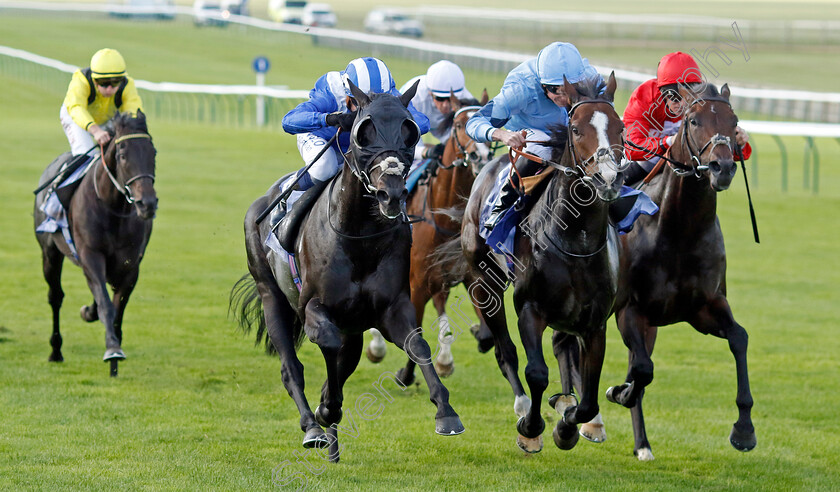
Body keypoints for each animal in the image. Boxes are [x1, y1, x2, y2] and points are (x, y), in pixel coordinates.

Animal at [233, 80, 462, 462]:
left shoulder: (389, 308)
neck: (359, 239)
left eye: (410, 131)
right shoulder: (313, 307)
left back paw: (332, 439)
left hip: (353, 325)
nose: (391, 193)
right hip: (271, 296)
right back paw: (313, 427)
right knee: (290, 367)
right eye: (362, 132)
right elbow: (327, 343)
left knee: (344, 356)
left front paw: (446, 413)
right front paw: (327, 409)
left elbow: (417, 344)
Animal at [364, 90, 496, 382]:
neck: (443, 216)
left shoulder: (468, 276)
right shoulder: (416, 282)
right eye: (459, 125)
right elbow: (415, 332)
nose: (479, 155)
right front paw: (405, 373)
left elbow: (486, 332)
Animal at [460, 73, 624, 454]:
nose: (608, 179)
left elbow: (590, 396)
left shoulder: (595, 323)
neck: (574, 241)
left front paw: (568, 424)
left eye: (621, 127)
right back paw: (522, 406)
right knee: (505, 350)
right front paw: (531, 428)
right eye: (576, 129)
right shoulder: (530, 309)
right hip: (483, 283)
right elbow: (536, 372)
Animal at [600, 81, 756, 462]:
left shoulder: (704, 307)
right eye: (694, 121)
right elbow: (641, 371)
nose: (722, 167)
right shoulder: (630, 310)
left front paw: (744, 429)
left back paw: (642, 444)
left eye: (734, 121)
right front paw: (618, 391)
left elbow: (740, 338)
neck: (679, 231)